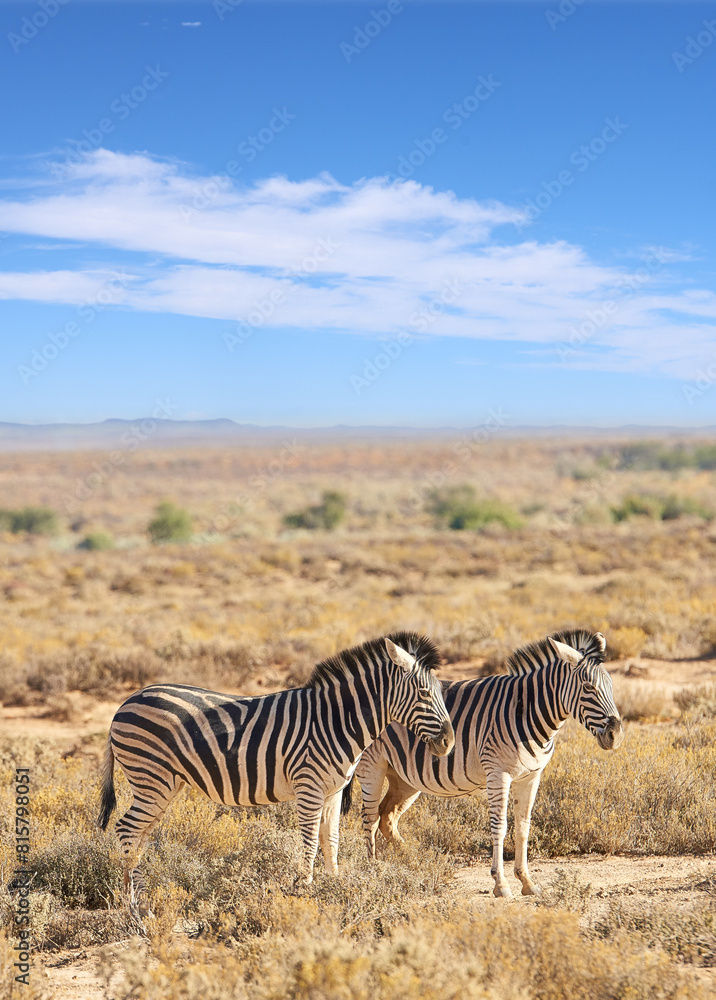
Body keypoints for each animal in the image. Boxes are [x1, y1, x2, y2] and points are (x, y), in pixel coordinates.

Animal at [98, 632, 454, 914]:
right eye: (424, 693)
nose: (449, 742)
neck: (336, 721)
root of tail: (125, 703)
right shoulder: (309, 787)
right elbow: (309, 842)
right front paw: (305, 890)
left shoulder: (333, 791)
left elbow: (331, 840)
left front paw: (335, 886)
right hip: (151, 778)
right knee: (126, 829)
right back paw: (137, 905)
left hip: (163, 785)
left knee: (139, 835)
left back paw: (136, 897)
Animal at [352, 630, 623, 899]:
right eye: (588, 687)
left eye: (611, 686)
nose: (616, 735)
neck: (526, 713)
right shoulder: (498, 774)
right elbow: (500, 827)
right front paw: (500, 883)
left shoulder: (531, 776)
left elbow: (523, 827)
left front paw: (526, 881)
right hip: (372, 767)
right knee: (370, 818)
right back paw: (374, 870)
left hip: (405, 777)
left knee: (387, 816)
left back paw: (416, 862)